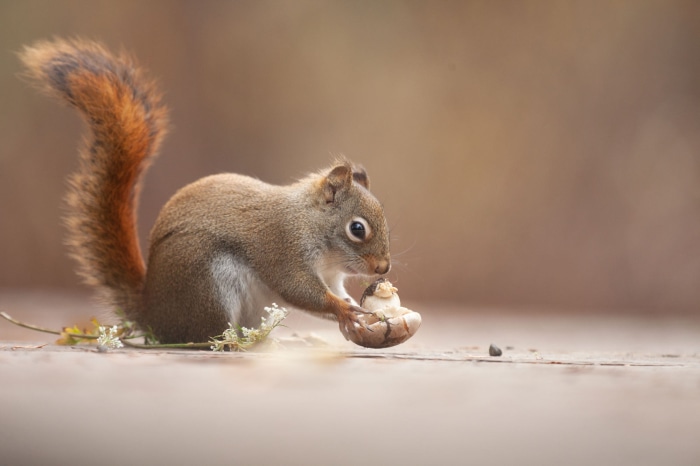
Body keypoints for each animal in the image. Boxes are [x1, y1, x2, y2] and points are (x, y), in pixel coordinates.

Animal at [20, 38, 391, 344]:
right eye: (357, 229)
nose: (384, 269)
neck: (313, 227)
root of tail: (154, 314)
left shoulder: (331, 276)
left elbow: (333, 293)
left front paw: (352, 312)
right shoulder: (283, 247)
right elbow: (299, 289)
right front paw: (345, 311)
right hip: (208, 285)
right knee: (201, 336)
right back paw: (231, 343)